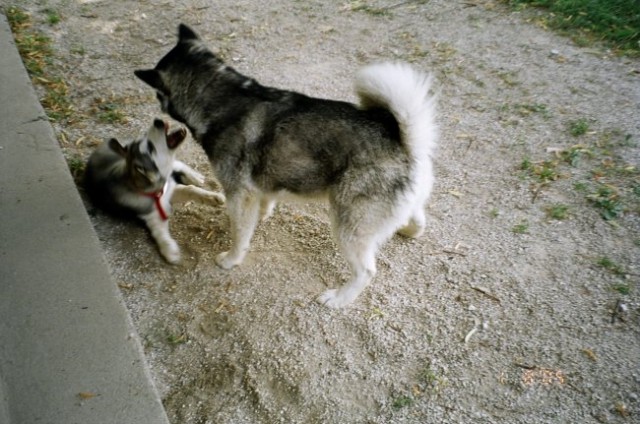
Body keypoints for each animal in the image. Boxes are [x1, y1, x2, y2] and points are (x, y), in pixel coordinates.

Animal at [84, 117, 225, 264]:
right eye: (150, 148)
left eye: (146, 138)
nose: (158, 121)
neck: (154, 190)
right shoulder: (153, 214)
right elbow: (159, 231)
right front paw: (170, 250)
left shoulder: (168, 189)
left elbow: (191, 189)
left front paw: (213, 197)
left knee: (177, 164)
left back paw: (194, 177)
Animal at [133, 24, 438, 308]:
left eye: (158, 95)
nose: (158, 117)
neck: (222, 97)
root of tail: (404, 142)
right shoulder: (260, 186)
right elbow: (261, 208)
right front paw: (261, 218)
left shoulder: (239, 194)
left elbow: (239, 233)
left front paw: (231, 259)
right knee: (419, 220)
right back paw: (407, 230)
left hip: (347, 226)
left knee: (366, 271)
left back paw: (339, 299)